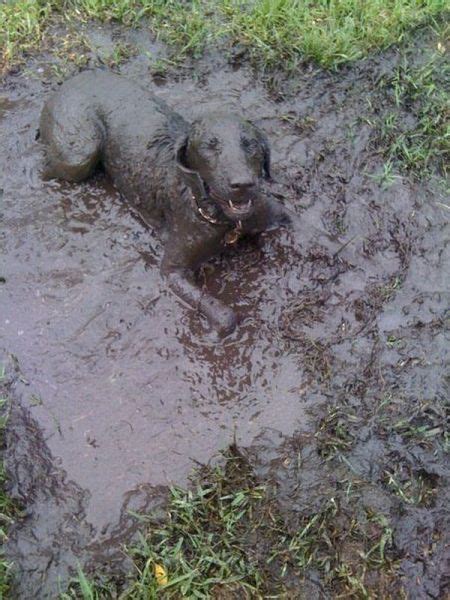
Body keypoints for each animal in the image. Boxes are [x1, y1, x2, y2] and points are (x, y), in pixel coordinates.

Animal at [40, 72, 290, 336]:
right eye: (209, 146)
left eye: (249, 144)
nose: (242, 183)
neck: (225, 220)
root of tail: (76, 77)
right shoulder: (173, 270)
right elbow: (224, 314)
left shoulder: (276, 213)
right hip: (79, 155)